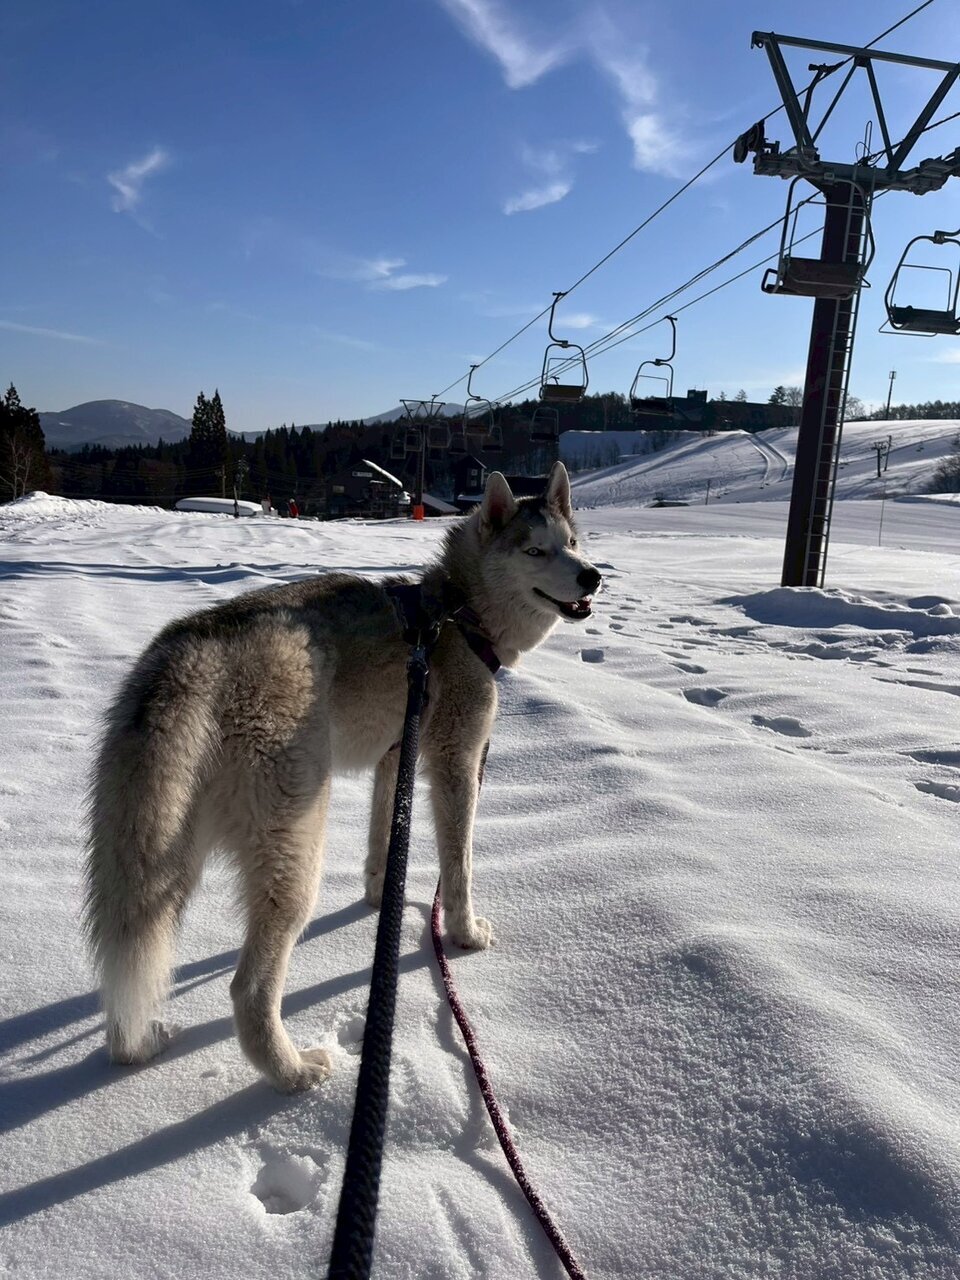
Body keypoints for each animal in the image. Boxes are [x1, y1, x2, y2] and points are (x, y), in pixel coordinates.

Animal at [84, 461, 601, 1091]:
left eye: (571, 544)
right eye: (534, 550)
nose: (592, 577)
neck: (456, 613)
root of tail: (195, 652)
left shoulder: (393, 758)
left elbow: (383, 842)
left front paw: (381, 900)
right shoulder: (455, 763)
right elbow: (459, 866)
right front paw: (464, 933)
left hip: (165, 859)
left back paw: (136, 1047)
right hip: (295, 849)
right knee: (248, 989)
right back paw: (294, 1072)